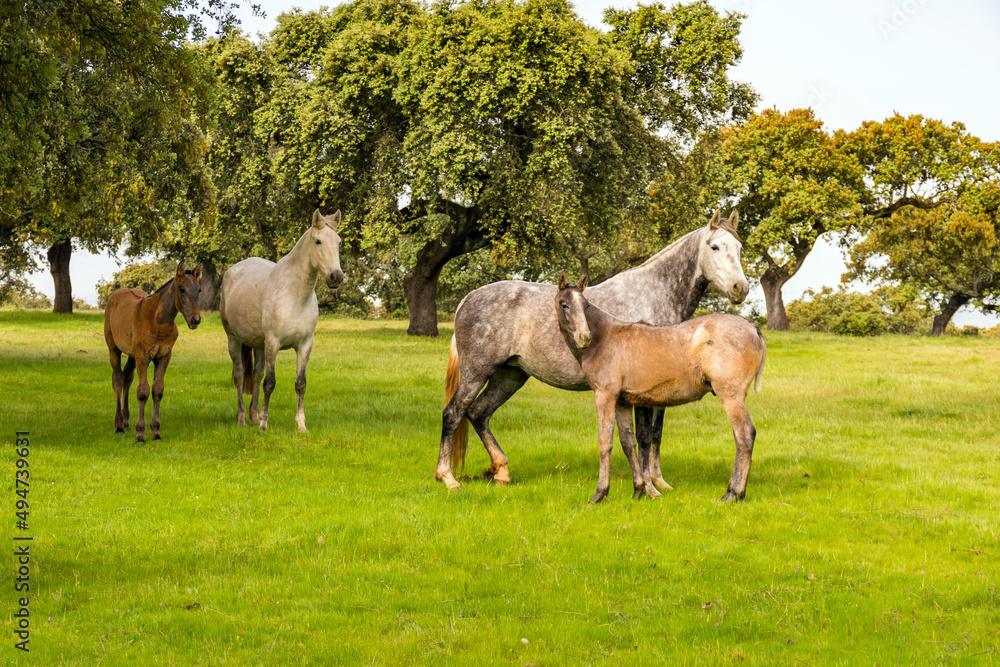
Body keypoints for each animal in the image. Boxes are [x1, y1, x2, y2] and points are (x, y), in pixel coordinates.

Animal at [103, 263, 203, 443]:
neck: (158, 322)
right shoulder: (143, 356)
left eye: (199, 290)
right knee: (117, 379)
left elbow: (158, 390)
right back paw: (119, 425)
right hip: (114, 349)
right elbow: (143, 392)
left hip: (132, 354)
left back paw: (126, 421)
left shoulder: (164, 356)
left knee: (127, 377)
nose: (195, 320)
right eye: (181, 288)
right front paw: (140, 434)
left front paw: (156, 431)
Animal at [219, 209, 346, 433]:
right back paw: (243, 418)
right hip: (234, 339)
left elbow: (300, 383)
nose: (336, 277)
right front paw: (264, 425)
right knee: (240, 374)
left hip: (258, 344)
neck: (295, 296)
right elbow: (270, 383)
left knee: (256, 374)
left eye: (338, 242)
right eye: (318, 241)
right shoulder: (273, 342)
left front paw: (301, 425)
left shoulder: (305, 345)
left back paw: (254, 416)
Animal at [435, 210, 748, 492]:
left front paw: (659, 482)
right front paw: (648, 485)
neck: (652, 296)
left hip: (509, 376)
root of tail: (468, 299)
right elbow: (644, 436)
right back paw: (447, 478)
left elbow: (655, 435)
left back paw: (501, 472)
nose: (740, 288)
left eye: (739, 247)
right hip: (476, 373)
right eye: (714, 246)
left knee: (479, 413)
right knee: (453, 413)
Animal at [555, 273, 766, 503]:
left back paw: (734, 493)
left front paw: (600, 494)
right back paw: (732, 491)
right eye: (564, 304)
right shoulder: (621, 402)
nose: (585, 337)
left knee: (744, 435)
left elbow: (605, 443)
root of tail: (753, 328)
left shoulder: (605, 396)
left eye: (585, 305)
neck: (606, 338)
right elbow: (628, 443)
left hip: (731, 395)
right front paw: (639, 489)